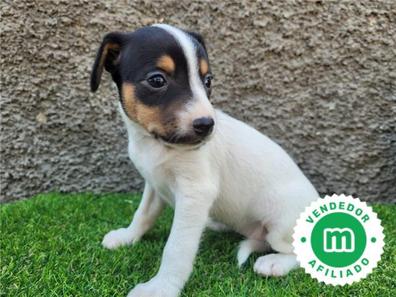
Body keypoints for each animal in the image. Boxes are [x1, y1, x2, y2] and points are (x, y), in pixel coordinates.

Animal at [90, 23, 318, 296]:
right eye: (157, 80)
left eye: (207, 81)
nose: (207, 125)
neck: (156, 144)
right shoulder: (154, 184)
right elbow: (143, 214)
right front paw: (127, 236)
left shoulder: (195, 193)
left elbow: (176, 248)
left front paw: (161, 287)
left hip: (281, 224)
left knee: (299, 252)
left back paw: (274, 263)